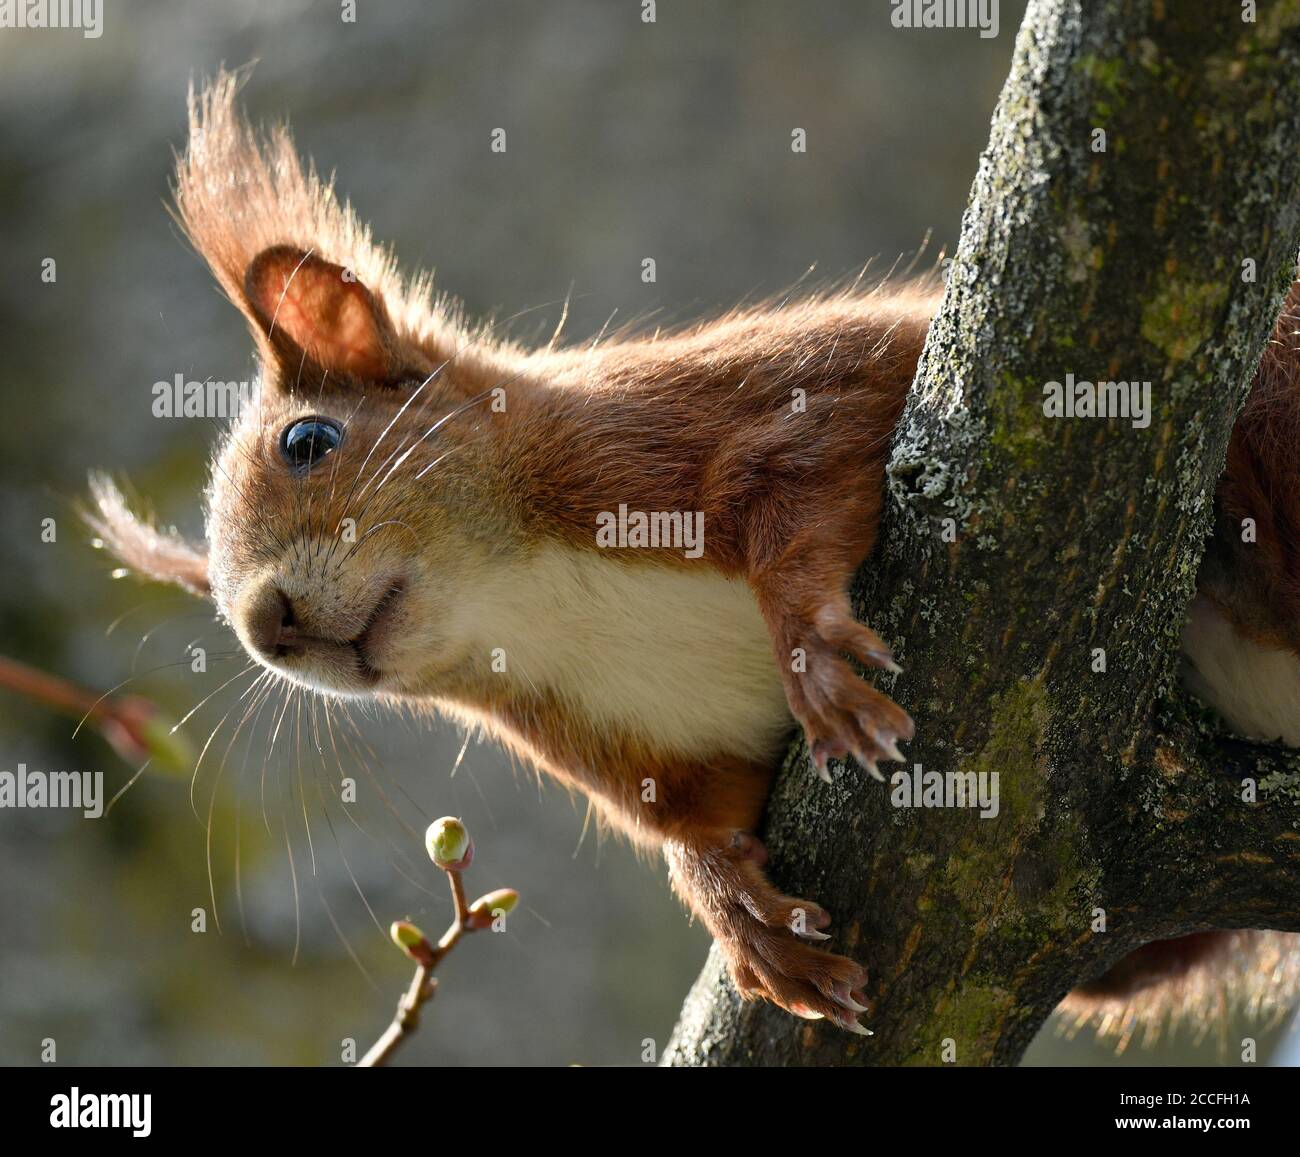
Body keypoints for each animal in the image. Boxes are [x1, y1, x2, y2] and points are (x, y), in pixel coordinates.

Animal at [91, 76, 1300, 1040]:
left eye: (308, 441)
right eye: (216, 605)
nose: (268, 627)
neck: (528, 606)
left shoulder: (696, 420)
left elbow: (817, 455)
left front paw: (809, 646)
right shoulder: (630, 745)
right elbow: (698, 821)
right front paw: (724, 897)